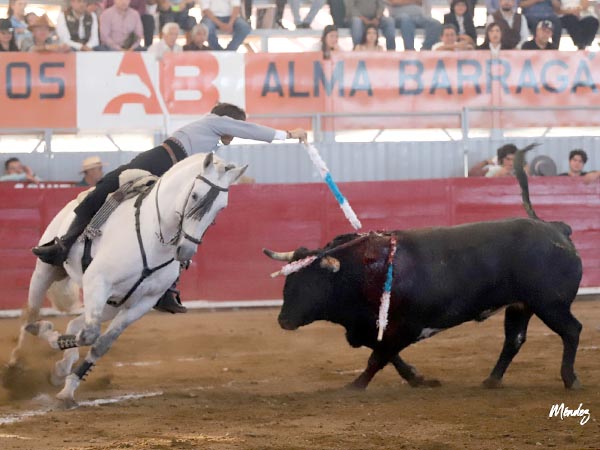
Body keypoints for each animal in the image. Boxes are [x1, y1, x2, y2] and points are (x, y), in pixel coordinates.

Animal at [7, 152, 247, 407]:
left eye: (221, 207)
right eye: (195, 195)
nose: (186, 251)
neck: (154, 239)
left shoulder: (142, 303)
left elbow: (100, 343)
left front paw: (68, 389)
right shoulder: (97, 282)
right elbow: (89, 334)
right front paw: (48, 335)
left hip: (111, 304)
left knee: (73, 325)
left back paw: (60, 369)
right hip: (45, 272)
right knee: (30, 314)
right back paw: (16, 364)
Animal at [264, 146, 583, 391]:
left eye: (310, 283)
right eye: (287, 284)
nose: (283, 320)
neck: (361, 271)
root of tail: (556, 229)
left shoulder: (403, 327)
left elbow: (379, 357)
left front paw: (356, 385)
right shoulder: (375, 329)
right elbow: (387, 355)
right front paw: (418, 378)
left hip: (550, 303)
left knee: (571, 330)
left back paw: (570, 380)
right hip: (521, 305)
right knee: (514, 339)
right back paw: (491, 380)